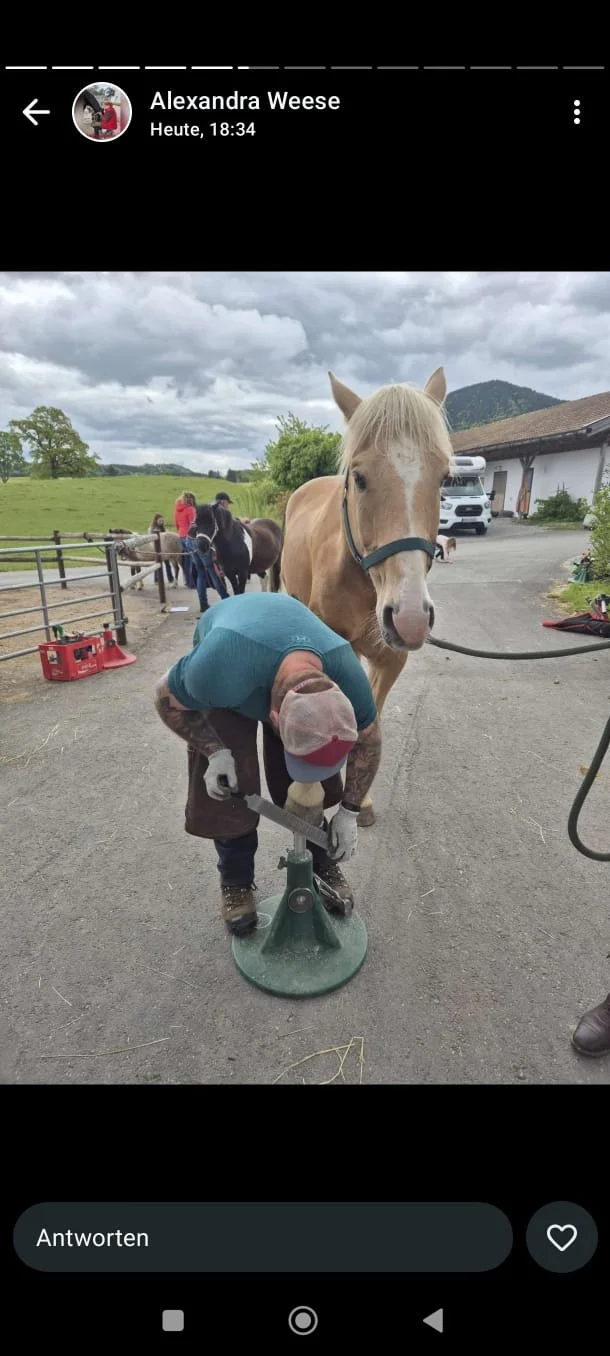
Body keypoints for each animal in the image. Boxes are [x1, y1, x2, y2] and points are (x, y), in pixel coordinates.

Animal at [275, 367, 454, 827]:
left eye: (444, 479)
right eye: (359, 478)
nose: (409, 618)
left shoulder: (390, 658)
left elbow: (369, 717)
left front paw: (361, 796)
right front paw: (307, 794)